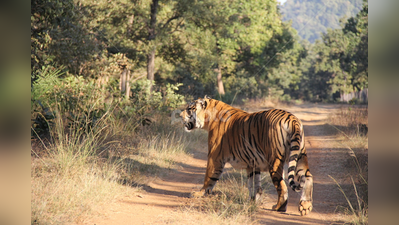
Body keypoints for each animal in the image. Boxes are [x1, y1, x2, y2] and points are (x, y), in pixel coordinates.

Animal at [180, 95, 314, 216]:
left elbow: (209, 177)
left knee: (282, 186)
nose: (180, 115)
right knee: (307, 177)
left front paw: (199, 193)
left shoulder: (215, 157)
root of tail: (292, 119)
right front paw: (253, 201)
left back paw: (279, 207)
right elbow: (254, 184)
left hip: (275, 161)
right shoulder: (252, 163)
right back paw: (305, 206)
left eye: (190, 108)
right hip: (300, 155)